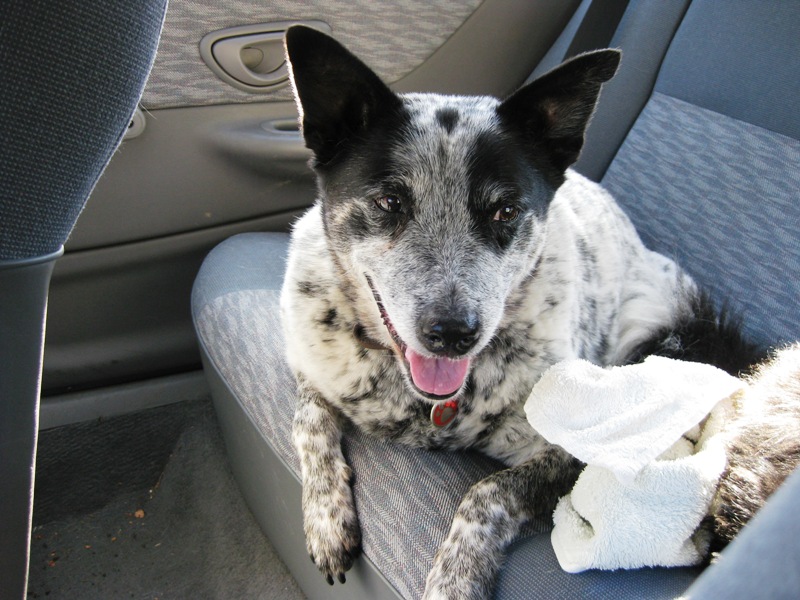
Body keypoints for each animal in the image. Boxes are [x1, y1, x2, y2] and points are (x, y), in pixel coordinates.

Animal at [276, 24, 792, 600]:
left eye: (505, 210)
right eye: (390, 203)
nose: (453, 333)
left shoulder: (576, 452)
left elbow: (488, 491)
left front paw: (456, 577)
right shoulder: (309, 367)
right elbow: (308, 419)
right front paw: (326, 517)